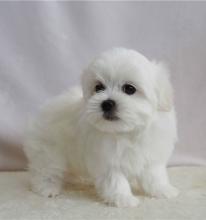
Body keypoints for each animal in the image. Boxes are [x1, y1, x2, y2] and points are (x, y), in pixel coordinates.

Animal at [23, 47, 179, 207]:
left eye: (129, 89)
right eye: (98, 87)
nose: (107, 103)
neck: (125, 132)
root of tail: (44, 108)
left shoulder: (151, 155)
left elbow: (154, 175)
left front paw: (163, 190)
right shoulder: (108, 161)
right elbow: (116, 181)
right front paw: (124, 199)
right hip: (48, 151)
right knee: (45, 170)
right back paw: (46, 188)